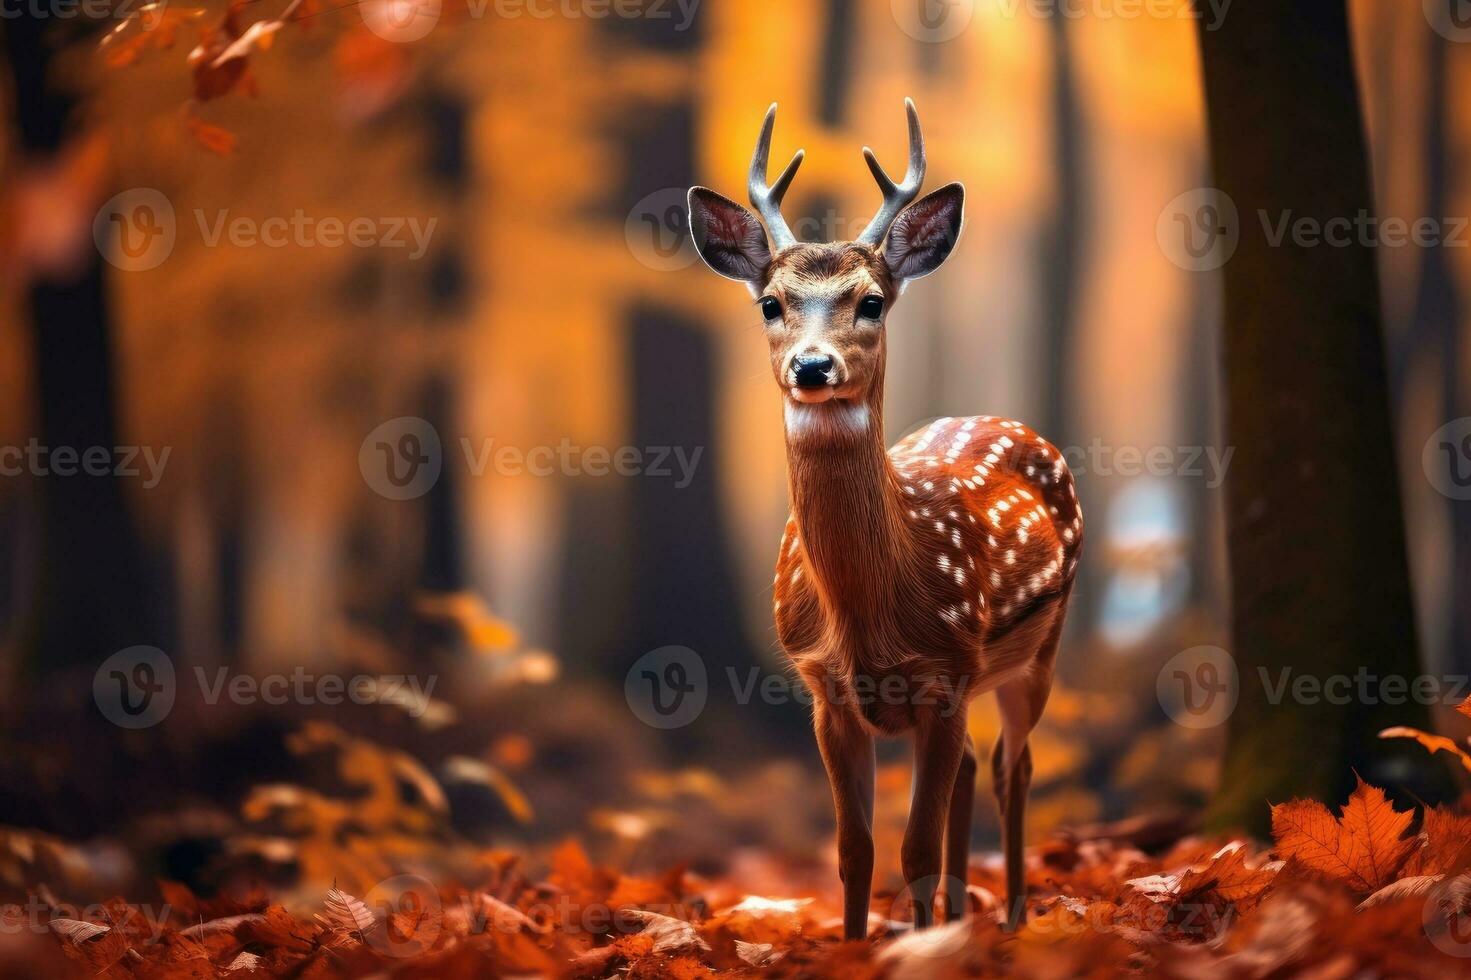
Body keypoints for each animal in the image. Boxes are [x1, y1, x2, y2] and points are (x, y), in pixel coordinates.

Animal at [685, 103, 1082, 935]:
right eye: (769, 303)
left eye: (869, 301)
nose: (812, 367)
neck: (873, 613)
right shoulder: (823, 691)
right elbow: (854, 851)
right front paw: (859, 945)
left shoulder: (946, 673)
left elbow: (913, 851)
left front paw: (917, 947)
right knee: (977, 767)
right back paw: (966, 918)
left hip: (1040, 645)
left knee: (1014, 765)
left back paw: (1012, 919)